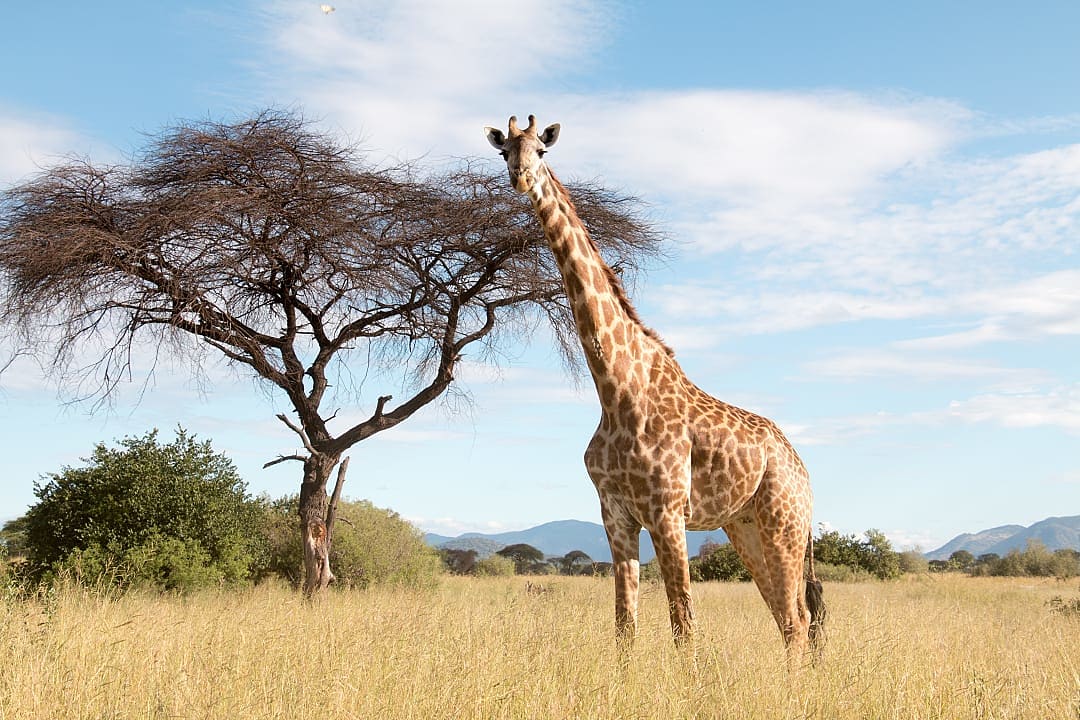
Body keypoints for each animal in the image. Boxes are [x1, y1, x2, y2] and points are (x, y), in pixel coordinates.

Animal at [485, 115, 825, 658]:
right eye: (504, 152)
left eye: (542, 149)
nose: (521, 177)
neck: (616, 390)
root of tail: (803, 471)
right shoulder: (615, 514)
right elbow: (625, 626)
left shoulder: (667, 512)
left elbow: (683, 625)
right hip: (744, 526)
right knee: (789, 620)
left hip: (784, 525)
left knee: (797, 619)